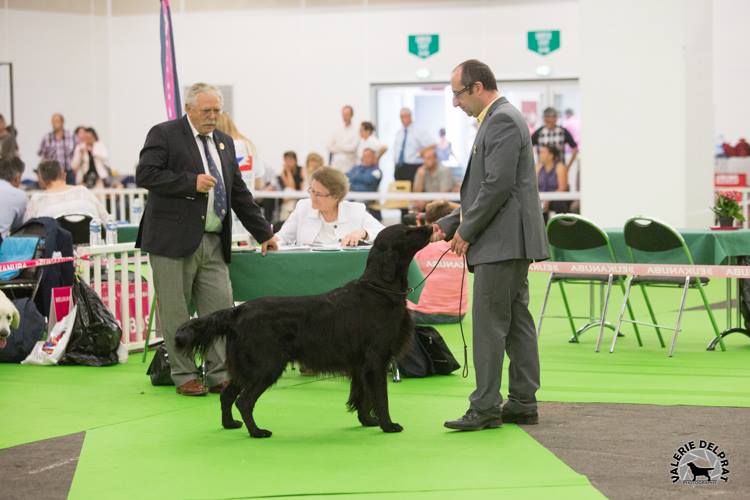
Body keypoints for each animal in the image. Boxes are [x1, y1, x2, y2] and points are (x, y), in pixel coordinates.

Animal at [177, 224, 434, 438]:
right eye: (408, 231)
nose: (431, 226)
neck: (380, 289)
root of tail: (238, 310)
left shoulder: (361, 364)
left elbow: (364, 398)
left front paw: (368, 420)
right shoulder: (376, 360)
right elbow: (380, 398)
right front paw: (388, 425)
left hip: (245, 368)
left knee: (227, 395)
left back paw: (230, 425)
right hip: (266, 366)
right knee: (244, 401)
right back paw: (257, 432)